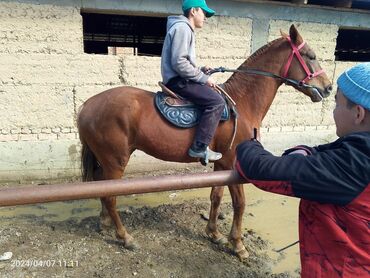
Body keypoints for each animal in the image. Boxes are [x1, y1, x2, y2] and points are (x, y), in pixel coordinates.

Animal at [77, 23, 332, 260]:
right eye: (311, 56)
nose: (328, 87)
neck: (242, 102)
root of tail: (87, 105)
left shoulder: (221, 164)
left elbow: (216, 197)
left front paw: (214, 234)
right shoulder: (233, 164)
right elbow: (239, 203)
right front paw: (238, 245)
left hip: (106, 161)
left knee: (102, 189)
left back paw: (105, 223)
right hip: (115, 161)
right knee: (110, 196)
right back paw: (125, 237)